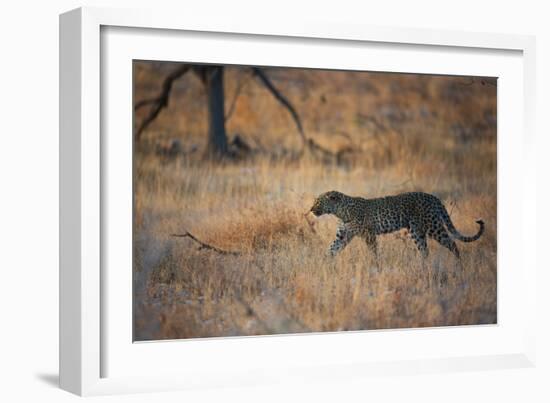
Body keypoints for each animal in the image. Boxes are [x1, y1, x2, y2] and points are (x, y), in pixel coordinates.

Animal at [310, 192, 488, 262]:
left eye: (318, 202)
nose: (311, 209)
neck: (339, 211)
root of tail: (434, 197)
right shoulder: (343, 236)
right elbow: (331, 249)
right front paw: (323, 262)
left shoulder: (369, 234)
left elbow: (373, 251)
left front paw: (375, 264)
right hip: (416, 231)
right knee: (425, 250)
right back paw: (422, 267)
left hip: (433, 226)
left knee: (452, 243)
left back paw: (459, 265)